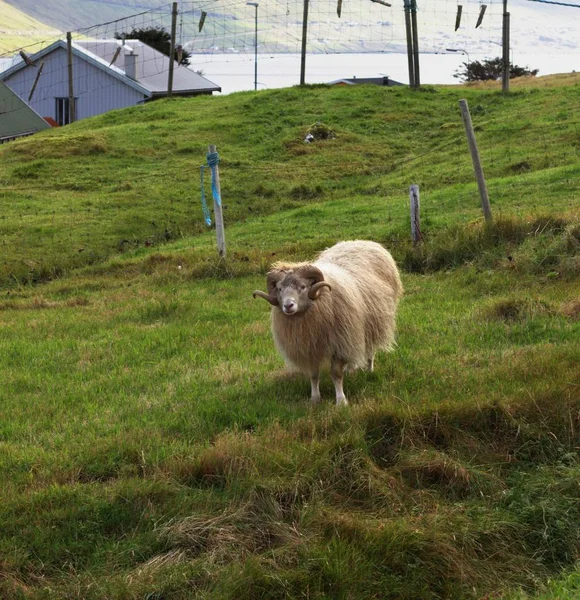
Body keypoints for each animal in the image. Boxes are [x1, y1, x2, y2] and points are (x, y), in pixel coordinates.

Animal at [254, 241, 404, 406]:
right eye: (280, 289)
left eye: (303, 287)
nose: (288, 306)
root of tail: (360, 241)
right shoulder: (310, 347)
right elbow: (313, 374)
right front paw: (315, 398)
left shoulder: (340, 341)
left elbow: (336, 374)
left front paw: (341, 401)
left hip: (371, 324)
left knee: (370, 349)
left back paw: (369, 369)